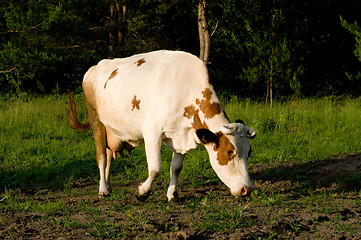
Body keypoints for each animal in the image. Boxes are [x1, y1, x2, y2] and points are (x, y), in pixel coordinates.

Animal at [66, 50, 255, 201]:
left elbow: (176, 168)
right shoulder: (152, 131)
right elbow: (155, 169)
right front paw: (142, 192)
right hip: (95, 119)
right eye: (229, 152)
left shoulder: (182, 136)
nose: (246, 189)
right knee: (101, 156)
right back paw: (103, 189)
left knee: (107, 153)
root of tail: (95, 67)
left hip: (110, 128)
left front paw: (172, 195)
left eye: (249, 152)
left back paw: (107, 184)